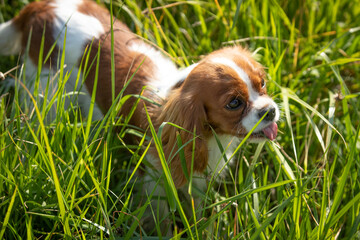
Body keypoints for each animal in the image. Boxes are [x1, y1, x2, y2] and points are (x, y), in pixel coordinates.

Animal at [0, 0, 278, 234]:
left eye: (262, 83)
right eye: (234, 103)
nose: (271, 110)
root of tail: (38, 7)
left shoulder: (197, 182)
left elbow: (199, 212)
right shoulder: (156, 183)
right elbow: (161, 220)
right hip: (46, 91)